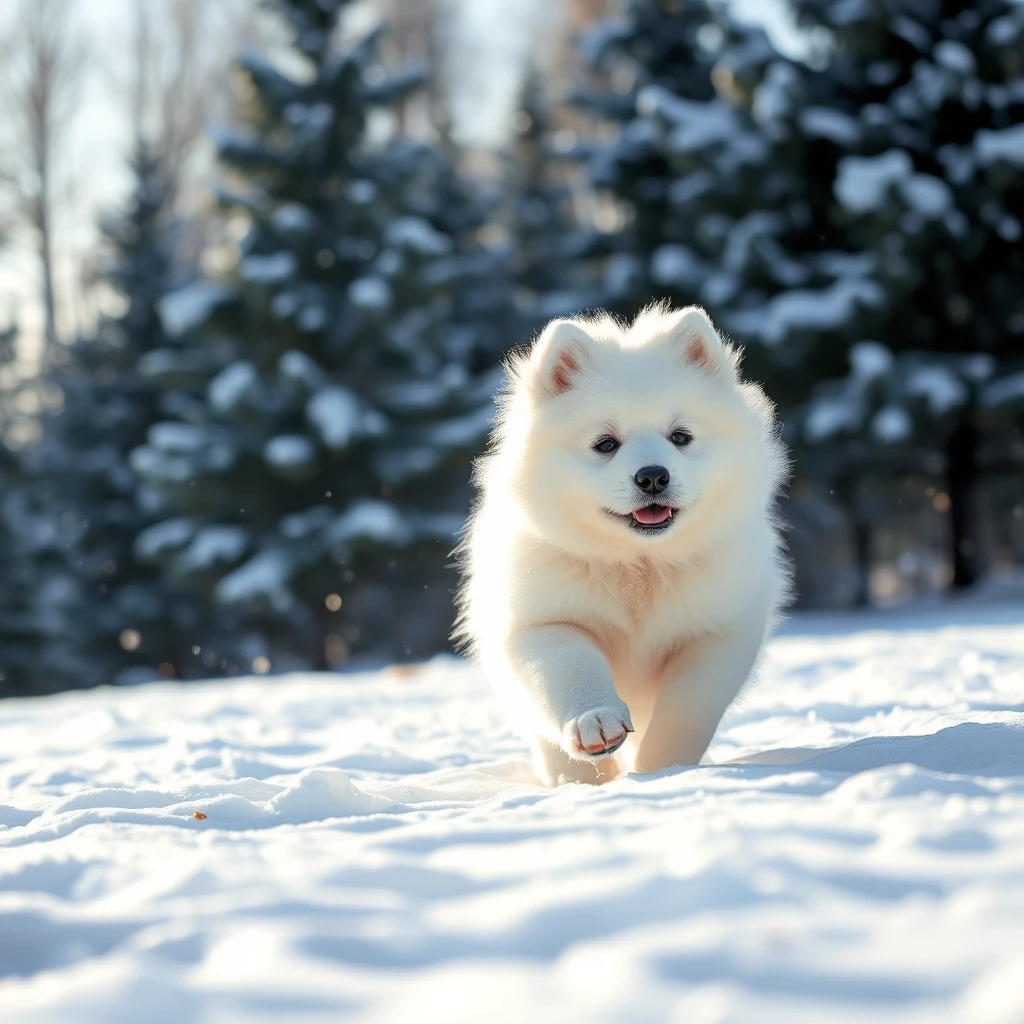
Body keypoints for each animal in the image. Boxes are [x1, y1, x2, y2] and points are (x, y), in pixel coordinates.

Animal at [458, 303, 790, 782]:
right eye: (605, 444)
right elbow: (570, 668)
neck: (639, 564)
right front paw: (596, 722)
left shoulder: (719, 632)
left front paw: (662, 768)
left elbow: (689, 706)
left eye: (681, 437)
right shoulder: (543, 621)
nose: (652, 476)